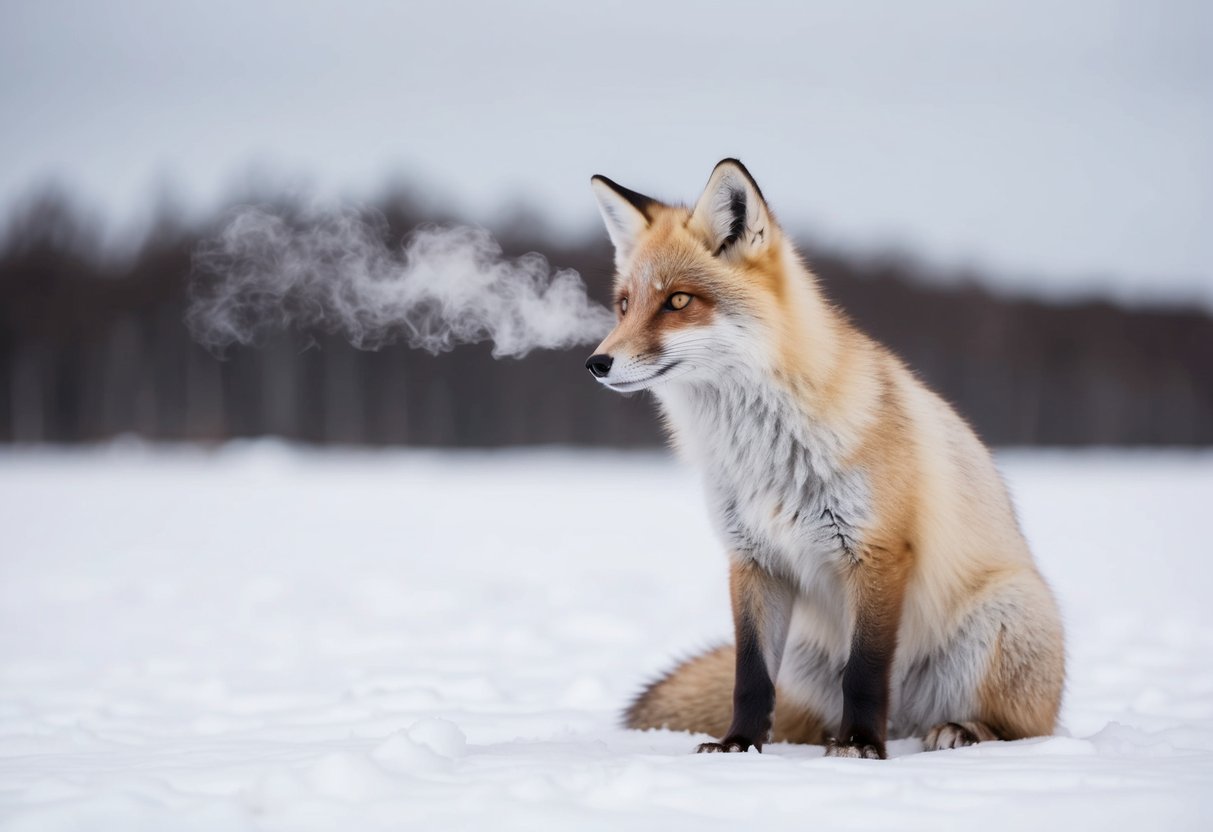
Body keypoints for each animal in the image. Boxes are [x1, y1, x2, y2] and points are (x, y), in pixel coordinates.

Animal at [583, 159, 1065, 758]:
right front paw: (738, 744)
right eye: (625, 304)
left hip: (1005, 616)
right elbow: (749, 676)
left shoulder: (877, 552)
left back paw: (955, 731)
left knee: (1021, 727)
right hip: (805, 656)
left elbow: (865, 671)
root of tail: (907, 721)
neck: (764, 453)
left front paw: (859, 746)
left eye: (677, 301)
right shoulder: (753, 559)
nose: (597, 363)